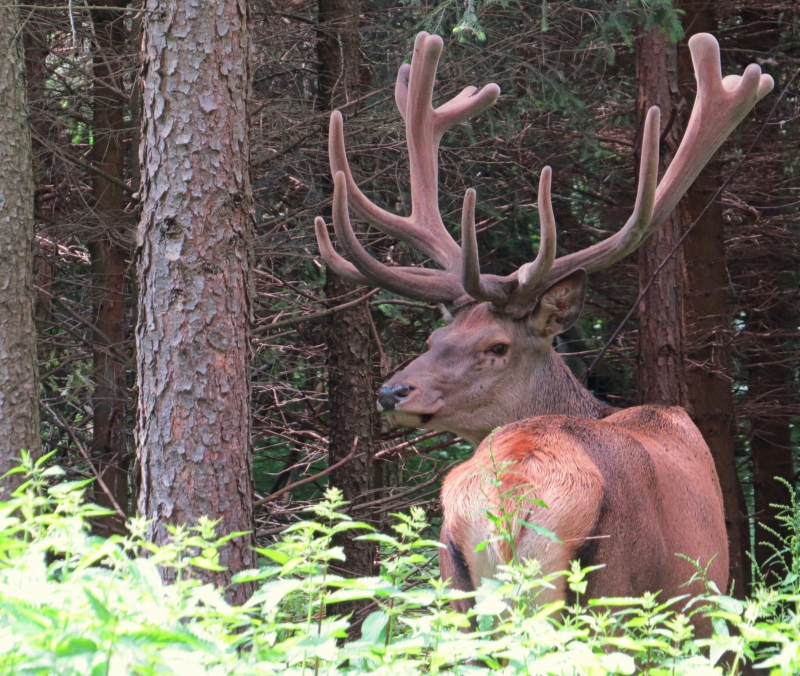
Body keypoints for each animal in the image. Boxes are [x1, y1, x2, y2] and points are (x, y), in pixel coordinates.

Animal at [314, 32, 773, 616]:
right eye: (437, 337)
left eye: (495, 346)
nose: (392, 391)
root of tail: (512, 495)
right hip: (621, 594)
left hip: (457, 588)